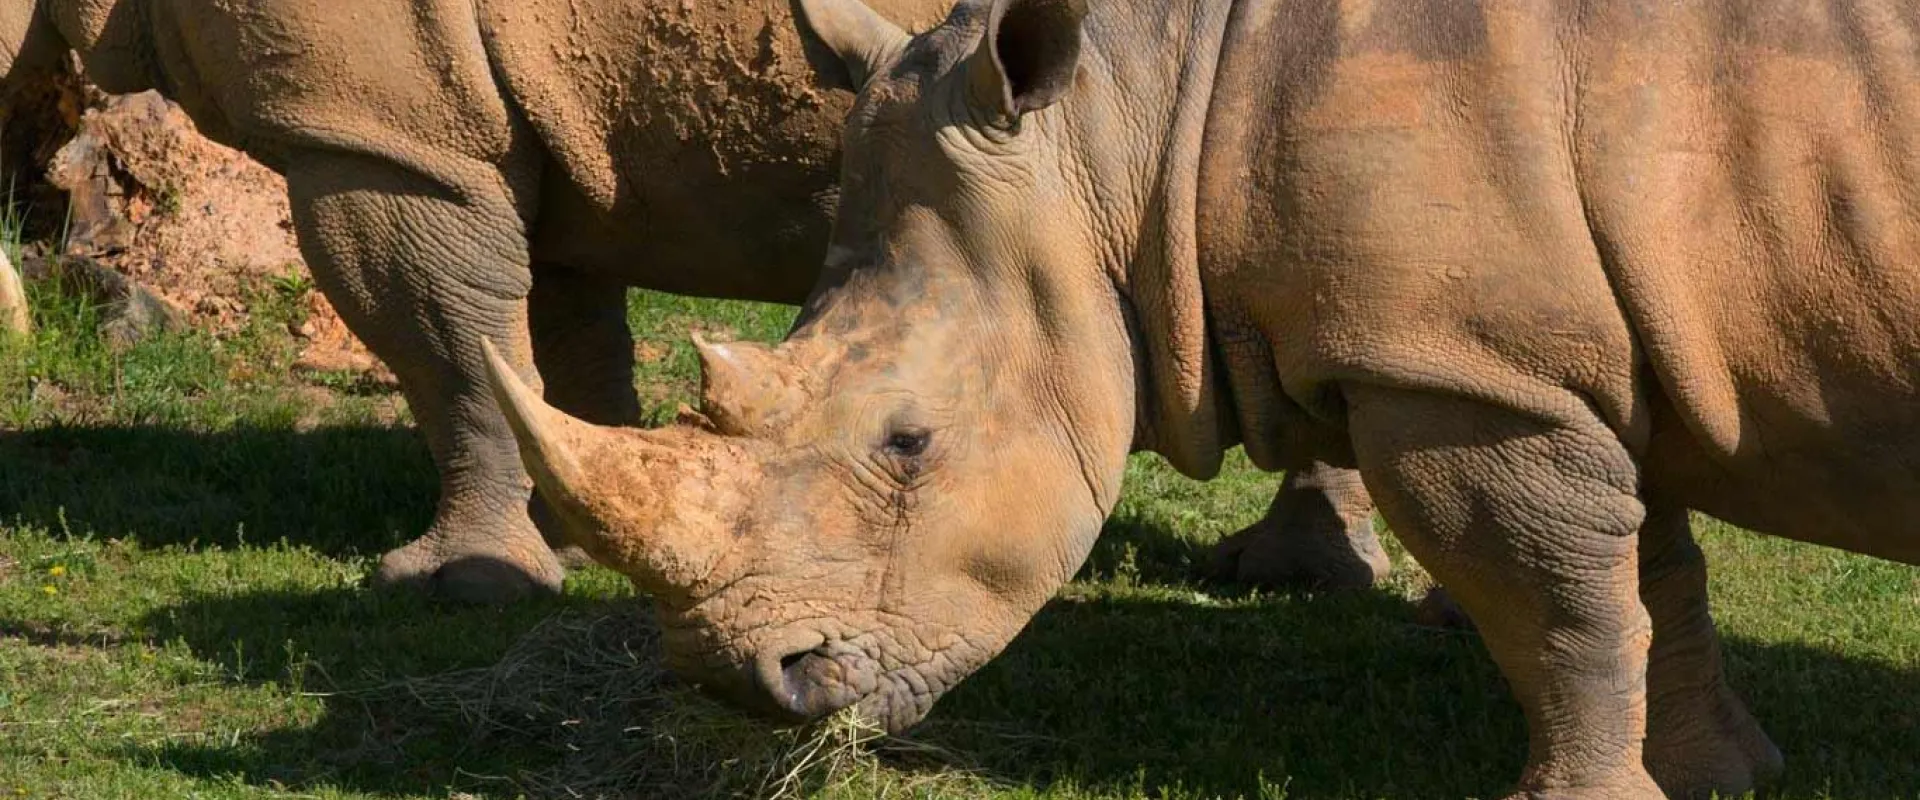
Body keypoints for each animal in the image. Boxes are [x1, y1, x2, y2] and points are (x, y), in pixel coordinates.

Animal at [0, 0, 1387, 603]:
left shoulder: (383, 132)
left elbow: (448, 345)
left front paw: (454, 584)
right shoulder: (510, 120)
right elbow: (549, 334)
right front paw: (577, 542)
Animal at [481, 0, 1920, 795]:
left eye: (909, 444)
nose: (738, 684)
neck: (1135, 123)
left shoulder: (1456, 370)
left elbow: (1562, 613)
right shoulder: (1559, 353)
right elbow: (1651, 577)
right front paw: (1719, 776)